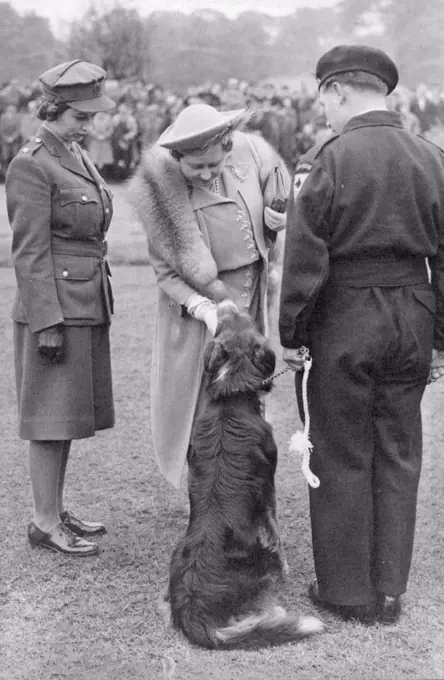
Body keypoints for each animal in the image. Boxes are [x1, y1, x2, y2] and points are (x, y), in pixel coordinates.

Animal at [163, 302, 322, 648]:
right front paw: (286, 567)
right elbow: (275, 531)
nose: (224, 302)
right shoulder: (269, 488)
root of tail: (192, 609)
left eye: (228, 321)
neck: (231, 392)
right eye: (248, 319)